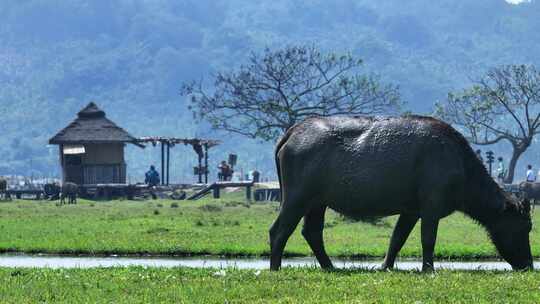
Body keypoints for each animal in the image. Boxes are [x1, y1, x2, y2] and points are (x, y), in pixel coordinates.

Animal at [272, 115, 532, 272]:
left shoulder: (411, 211)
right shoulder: (431, 206)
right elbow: (428, 239)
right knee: (278, 231)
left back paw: (330, 267)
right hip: (296, 197)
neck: (462, 169)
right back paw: (275, 267)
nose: (529, 264)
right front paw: (429, 269)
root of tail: (292, 132)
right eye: (524, 227)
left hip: (317, 202)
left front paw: (385, 266)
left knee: (312, 232)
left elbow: (397, 239)